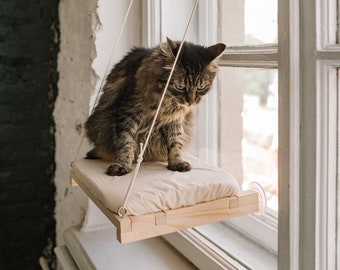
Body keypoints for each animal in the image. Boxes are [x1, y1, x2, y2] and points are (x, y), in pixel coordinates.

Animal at [85, 38, 226, 177]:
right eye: (180, 87)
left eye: (201, 87)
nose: (190, 102)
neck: (167, 102)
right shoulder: (127, 114)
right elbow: (125, 142)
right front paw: (121, 165)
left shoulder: (175, 120)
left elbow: (176, 143)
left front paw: (176, 163)